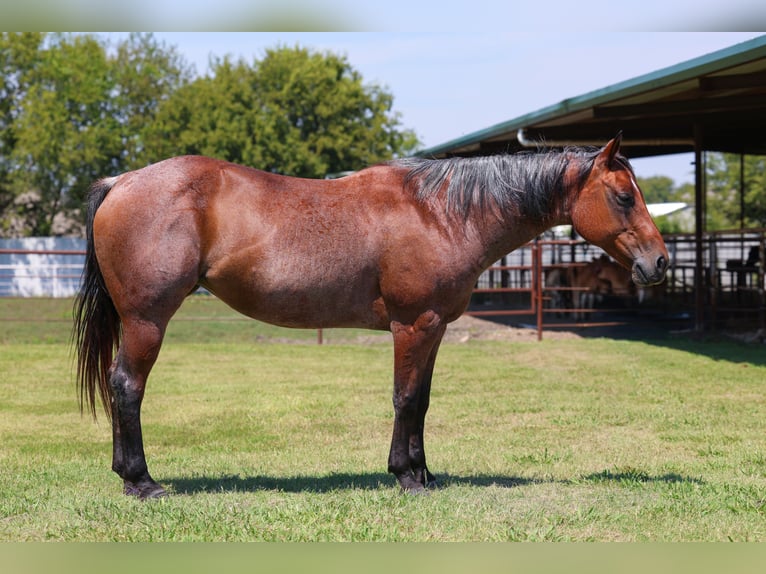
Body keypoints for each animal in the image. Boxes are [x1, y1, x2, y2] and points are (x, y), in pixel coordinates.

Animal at [73, 134, 668, 499]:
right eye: (622, 196)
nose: (659, 262)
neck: (440, 213)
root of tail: (121, 183)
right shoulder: (414, 325)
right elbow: (404, 398)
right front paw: (406, 477)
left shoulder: (435, 328)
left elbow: (422, 401)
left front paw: (424, 473)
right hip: (147, 320)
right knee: (126, 386)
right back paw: (142, 481)